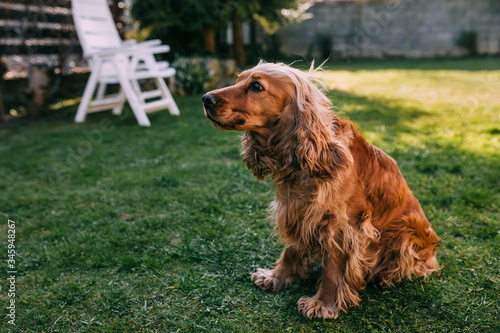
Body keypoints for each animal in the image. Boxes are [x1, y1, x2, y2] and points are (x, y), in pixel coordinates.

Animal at [201, 61, 440, 318]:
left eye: (256, 86)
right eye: (238, 80)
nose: (205, 98)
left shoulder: (344, 226)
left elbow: (333, 271)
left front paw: (322, 304)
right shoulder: (296, 210)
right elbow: (291, 249)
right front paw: (277, 277)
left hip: (406, 236)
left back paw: (386, 276)